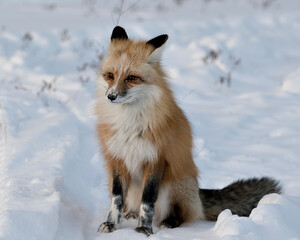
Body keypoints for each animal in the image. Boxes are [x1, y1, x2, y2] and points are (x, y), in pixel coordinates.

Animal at [96, 26, 282, 236]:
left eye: (131, 78)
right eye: (110, 75)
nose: (111, 96)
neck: (128, 122)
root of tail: (198, 194)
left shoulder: (156, 159)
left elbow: (148, 201)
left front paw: (144, 228)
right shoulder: (117, 159)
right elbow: (117, 199)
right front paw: (111, 224)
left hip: (173, 186)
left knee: (181, 215)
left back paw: (168, 222)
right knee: (132, 204)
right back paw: (132, 214)